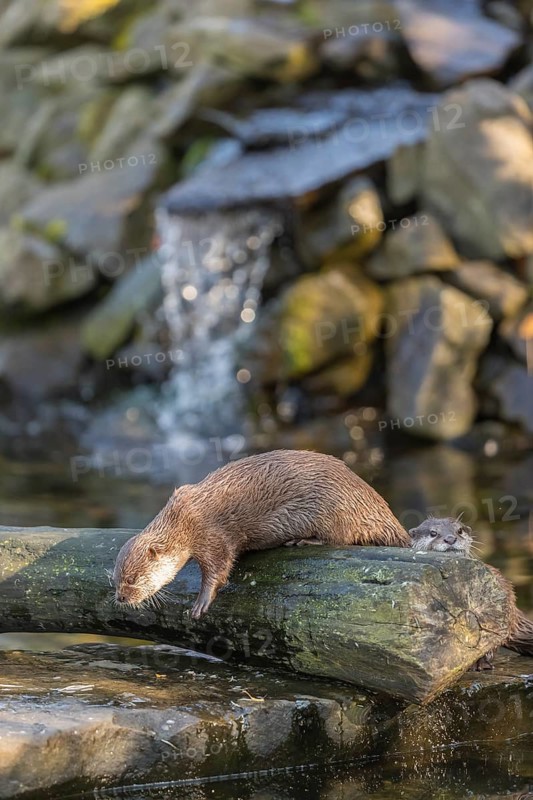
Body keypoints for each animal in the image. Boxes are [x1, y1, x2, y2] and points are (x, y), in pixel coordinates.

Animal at [113, 449, 410, 618]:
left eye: (132, 579)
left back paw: (302, 540)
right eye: (114, 580)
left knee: (341, 537)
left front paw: (201, 602)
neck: (182, 519)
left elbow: (219, 568)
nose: (120, 598)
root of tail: (371, 500)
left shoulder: (212, 533)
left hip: (333, 509)